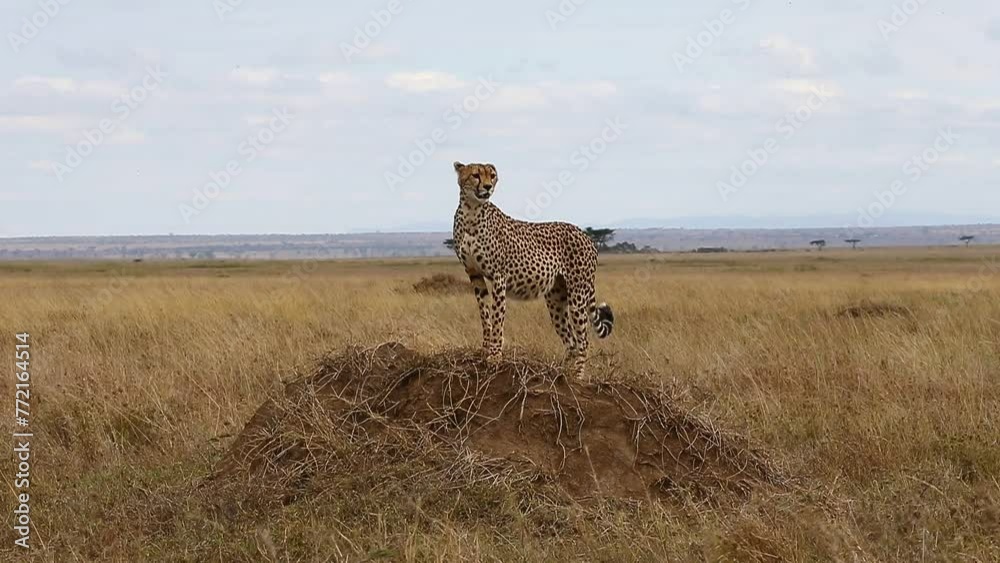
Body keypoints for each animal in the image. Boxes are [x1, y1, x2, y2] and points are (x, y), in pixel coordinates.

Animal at [452, 161, 608, 378]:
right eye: (476, 175)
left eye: (492, 175)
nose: (488, 187)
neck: (471, 211)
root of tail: (585, 235)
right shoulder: (474, 275)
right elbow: (485, 315)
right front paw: (484, 349)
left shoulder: (499, 276)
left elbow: (497, 318)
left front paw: (495, 355)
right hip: (555, 298)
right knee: (571, 340)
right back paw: (560, 372)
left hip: (578, 294)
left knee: (583, 340)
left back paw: (577, 377)